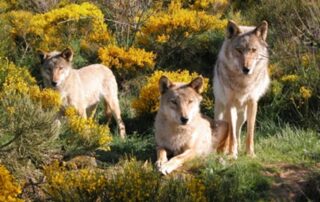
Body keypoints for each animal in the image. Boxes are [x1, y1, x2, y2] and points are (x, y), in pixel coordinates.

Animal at [214, 20, 268, 158]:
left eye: (253, 50)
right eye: (239, 50)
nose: (246, 69)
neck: (243, 83)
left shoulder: (252, 103)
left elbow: (249, 133)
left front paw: (250, 154)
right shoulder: (230, 104)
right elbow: (231, 134)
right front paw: (232, 154)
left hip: (243, 116)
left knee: (238, 131)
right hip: (221, 114)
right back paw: (223, 150)